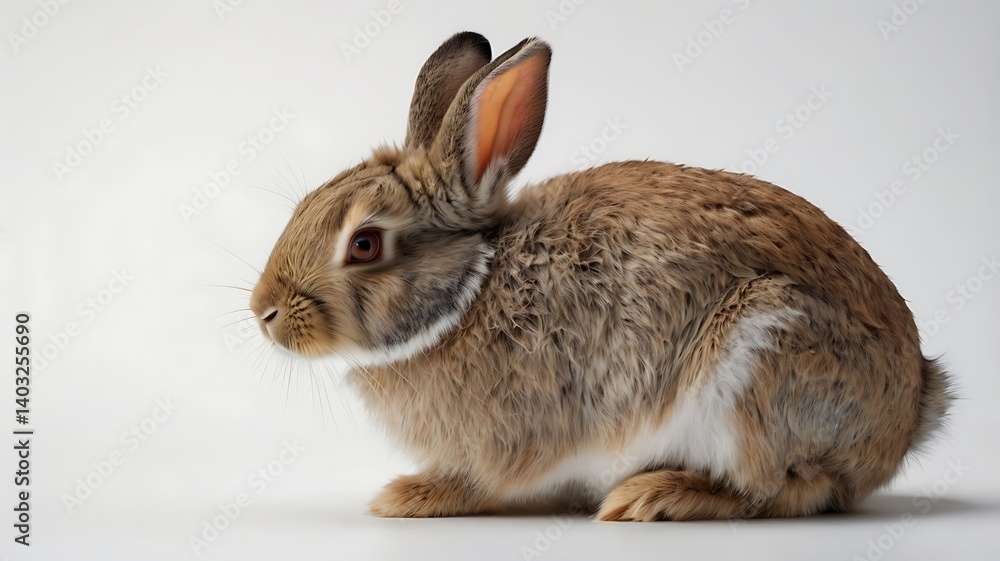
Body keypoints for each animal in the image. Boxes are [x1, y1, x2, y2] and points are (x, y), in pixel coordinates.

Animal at [249, 31, 954, 521]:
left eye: (364, 244)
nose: (265, 314)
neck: (467, 292)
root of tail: (906, 413)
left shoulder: (514, 432)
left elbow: (481, 478)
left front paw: (412, 496)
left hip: (762, 355)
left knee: (787, 490)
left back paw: (655, 498)